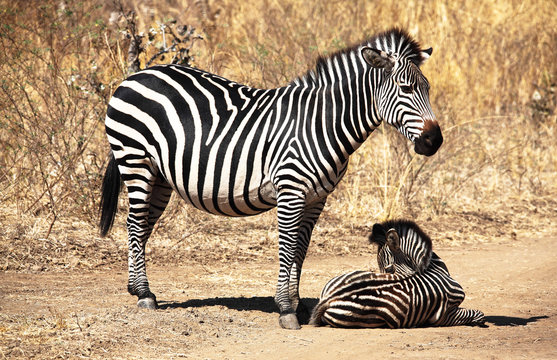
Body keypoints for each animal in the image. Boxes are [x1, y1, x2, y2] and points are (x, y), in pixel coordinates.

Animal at [97, 27, 440, 330]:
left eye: (427, 89)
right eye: (406, 89)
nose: (433, 141)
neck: (322, 122)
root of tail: (136, 76)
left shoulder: (316, 198)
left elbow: (300, 249)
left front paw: (297, 303)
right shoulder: (291, 190)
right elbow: (287, 247)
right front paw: (286, 309)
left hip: (160, 178)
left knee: (142, 227)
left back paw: (138, 289)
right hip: (136, 161)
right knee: (134, 224)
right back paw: (144, 294)